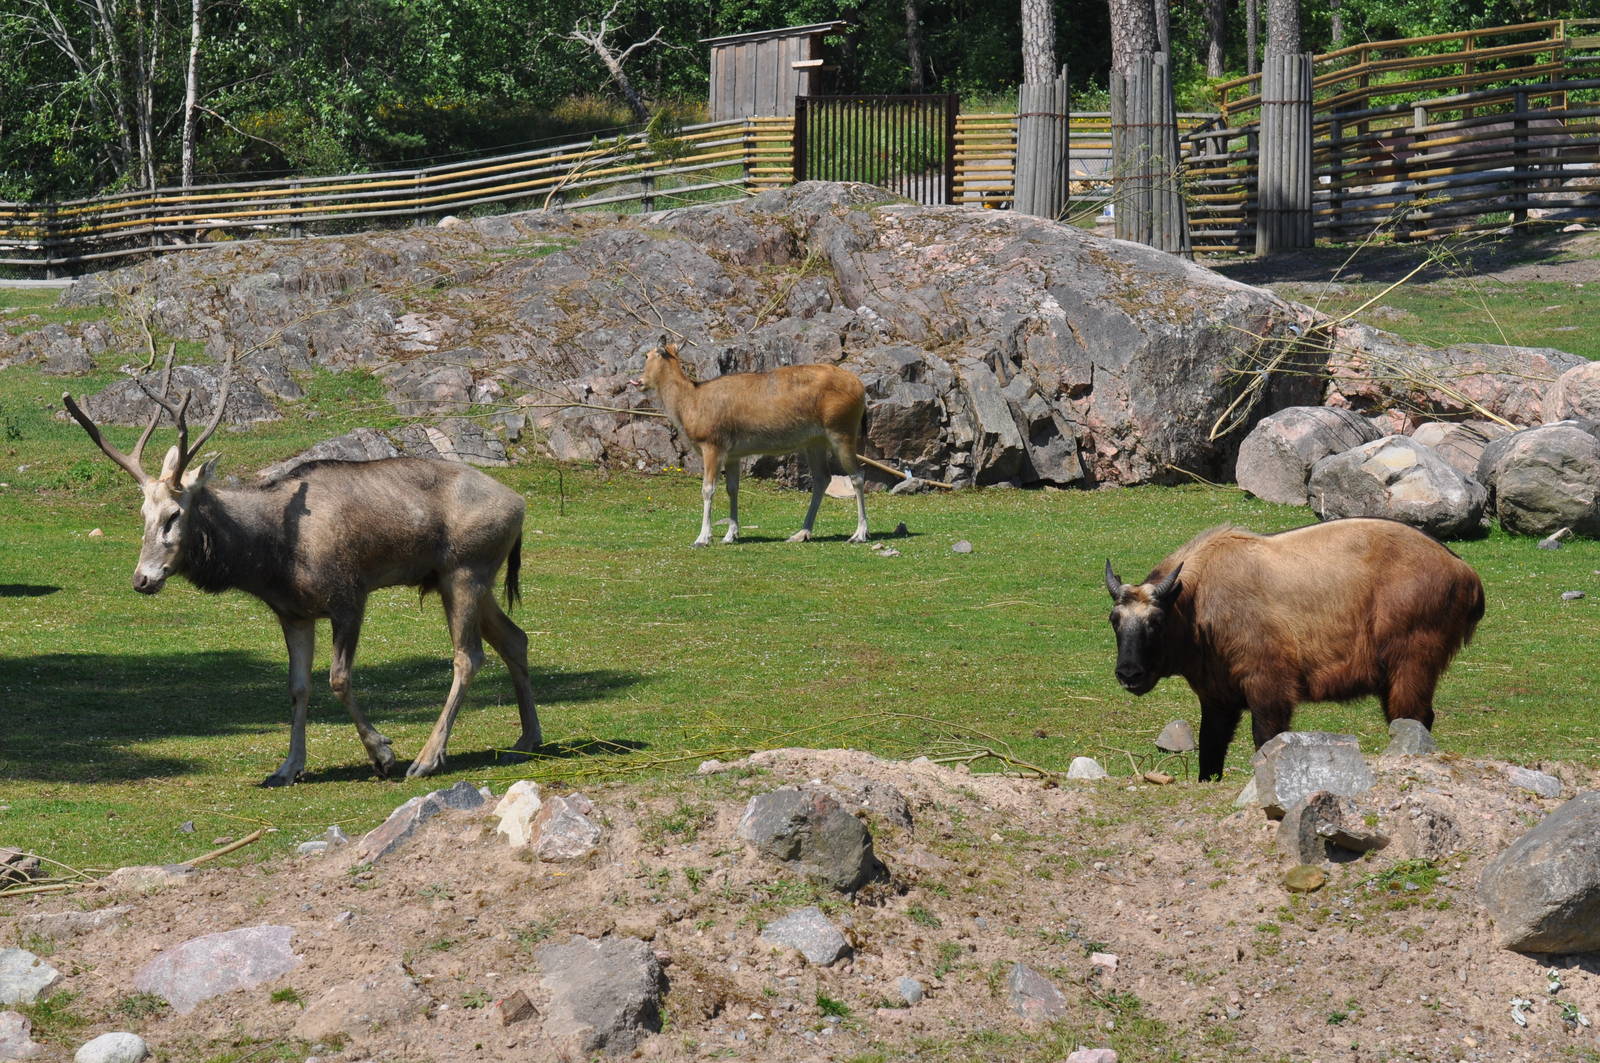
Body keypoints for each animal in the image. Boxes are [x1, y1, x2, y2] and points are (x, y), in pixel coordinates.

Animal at [62, 358, 542, 786]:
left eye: (174, 515)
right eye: (143, 514)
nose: (143, 579)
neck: (272, 556)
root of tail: (519, 504)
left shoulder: (350, 596)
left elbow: (338, 679)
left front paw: (382, 753)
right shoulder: (293, 613)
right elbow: (298, 687)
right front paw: (287, 767)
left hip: (466, 570)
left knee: (468, 655)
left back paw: (427, 758)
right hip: (459, 577)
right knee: (515, 638)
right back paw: (527, 739)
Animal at [635, 341, 869, 547]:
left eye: (646, 355)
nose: (638, 381)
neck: (689, 403)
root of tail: (860, 387)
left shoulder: (712, 444)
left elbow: (708, 489)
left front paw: (702, 538)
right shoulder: (733, 454)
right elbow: (732, 488)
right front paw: (730, 535)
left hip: (842, 430)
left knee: (857, 476)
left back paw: (859, 534)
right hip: (815, 441)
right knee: (822, 478)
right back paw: (801, 533)